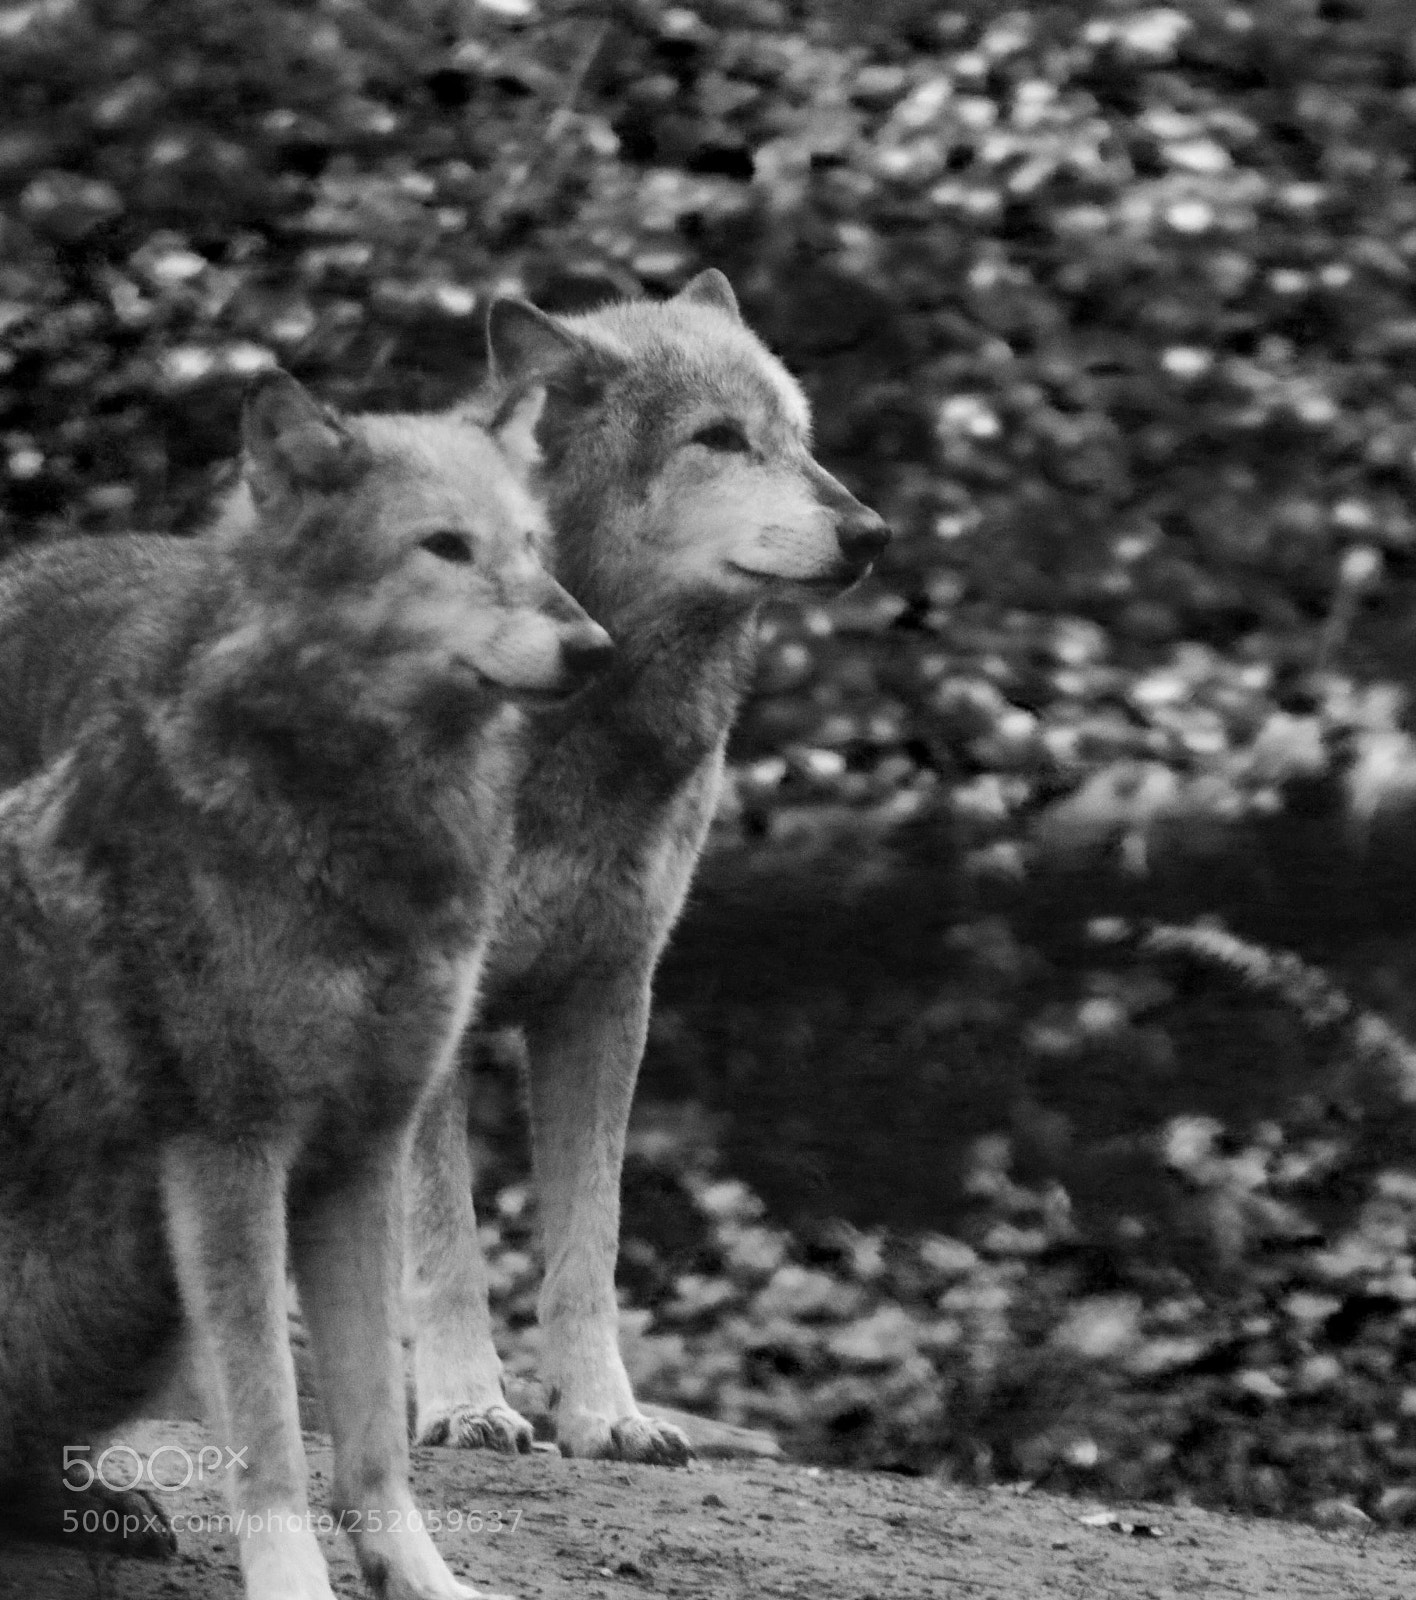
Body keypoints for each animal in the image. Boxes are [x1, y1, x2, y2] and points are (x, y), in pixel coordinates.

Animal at [0, 271, 889, 1469]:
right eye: (718, 439)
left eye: (801, 441)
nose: (871, 531)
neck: (582, 735)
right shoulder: (435, 1032)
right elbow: (445, 1245)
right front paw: (470, 1406)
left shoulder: (607, 997)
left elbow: (588, 1246)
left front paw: (606, 1416)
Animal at [0, 368, 609, 1600]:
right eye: (445, 546)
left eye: (534, 546)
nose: (596, 647)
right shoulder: (230, 1155)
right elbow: (272, 1429)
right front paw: (291, 1582)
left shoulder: (362, 1153)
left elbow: (374, 1432)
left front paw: (421, 1577)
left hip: (132, 1306)